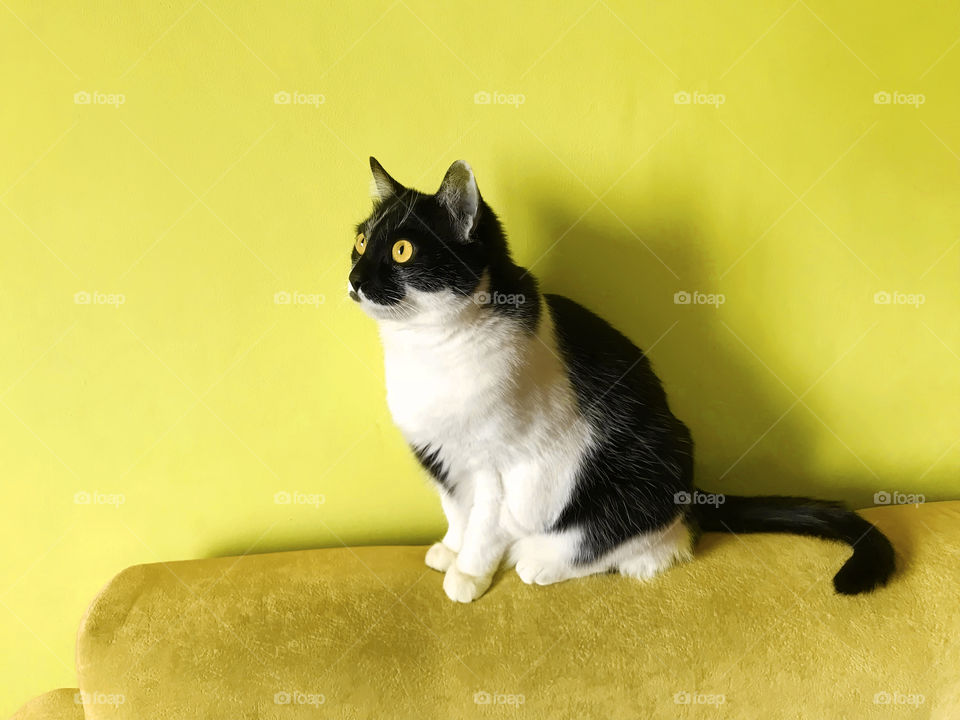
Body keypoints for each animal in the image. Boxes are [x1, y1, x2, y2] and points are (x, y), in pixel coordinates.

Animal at [348, 158, 896, 600]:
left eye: (401, 250)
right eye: (360, 242)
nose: (353, 277)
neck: (428, 346)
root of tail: (694, 491)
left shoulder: (498, 466)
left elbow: (483, 525)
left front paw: (469, 575)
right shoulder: (441, 455)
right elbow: (456, 511)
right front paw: (450, 550)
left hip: (650, 458)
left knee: (647, 543)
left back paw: (544, 562)